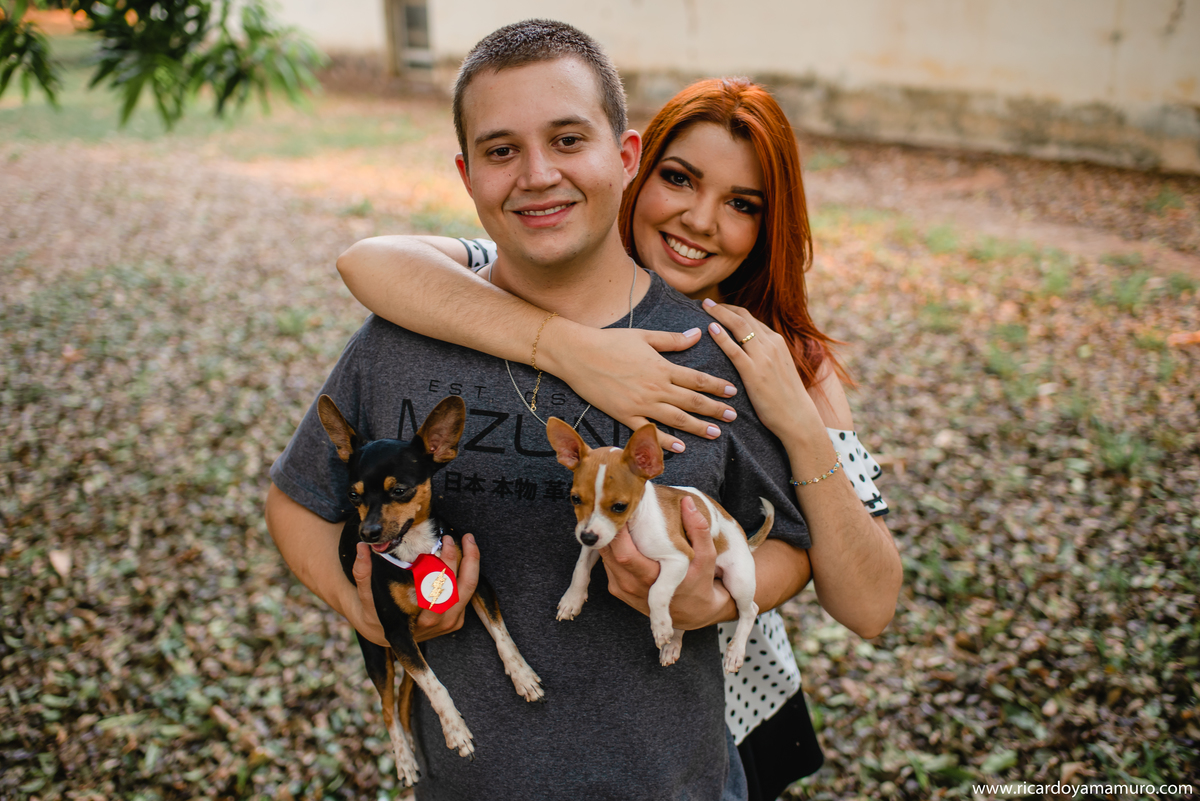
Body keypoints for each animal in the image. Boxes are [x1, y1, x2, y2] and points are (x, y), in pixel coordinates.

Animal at [318, 394, 544, 786]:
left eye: (399, 490)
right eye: (353, 495)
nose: (368, 533)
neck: (416, 549)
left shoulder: (478, 586)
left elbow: (502, 635)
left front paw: (523, 676)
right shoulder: (395, 631)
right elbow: (435, 686)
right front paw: (455, 729)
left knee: (405, 696)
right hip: (378, 653)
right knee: (388, 707)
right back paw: (405, 760)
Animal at [546, 417, 774, 673]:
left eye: (619, 506)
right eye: (575, 499)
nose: (587, 537)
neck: (632, 527)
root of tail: (744, 537)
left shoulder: (679, 557)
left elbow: (657, 591)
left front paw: (661, 625)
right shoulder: (597, 544)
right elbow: (580, 569)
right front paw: (572, 599)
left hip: (739, 579)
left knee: (749, 611)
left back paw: (735, 651)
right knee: (687, 621)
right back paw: (672, 645)